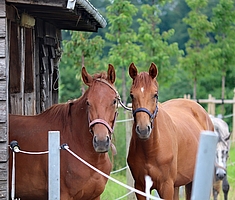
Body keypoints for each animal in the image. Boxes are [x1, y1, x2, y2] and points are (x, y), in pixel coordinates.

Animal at [127, 63, 214, 200]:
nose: (143, 129)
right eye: (132, 95)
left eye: (155, 94)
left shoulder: (166, 186)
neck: (151, 149)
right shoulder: (140, 187)